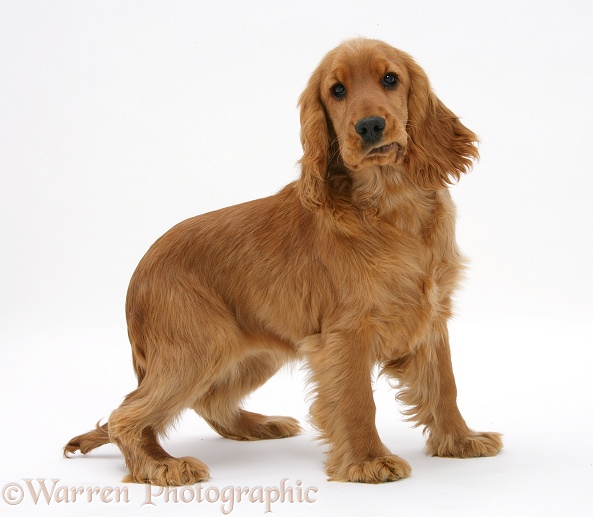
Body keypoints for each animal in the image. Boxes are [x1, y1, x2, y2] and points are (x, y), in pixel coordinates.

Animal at [63, 39, 500, 484]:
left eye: (390, 79)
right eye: (337, 91)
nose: (370, 126)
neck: (391, 202)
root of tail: (138, 274)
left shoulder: (431, 316)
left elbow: (445, 385)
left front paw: (460, 440)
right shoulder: (345, 332)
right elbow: (358, 399)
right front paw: (367, 461)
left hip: (255, 352)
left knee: (208, 401)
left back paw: (259, 425)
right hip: (197, 347)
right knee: (127, 416)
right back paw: (163, 464)